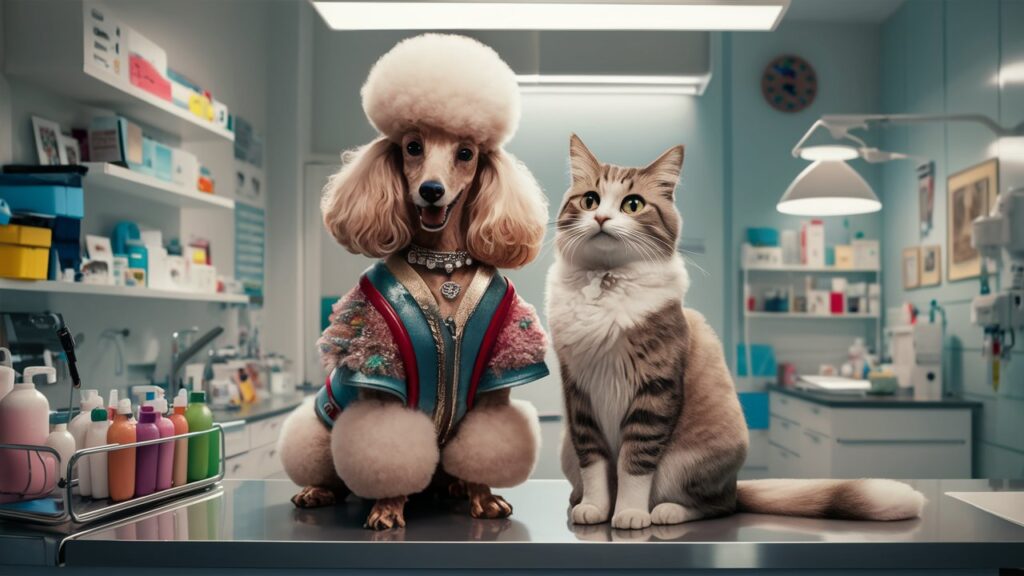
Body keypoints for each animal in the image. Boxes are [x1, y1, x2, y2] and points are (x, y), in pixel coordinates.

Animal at [552, 132, 929, 528]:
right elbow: (594, 463)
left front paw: (629, 513)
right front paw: (595, 507)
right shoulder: (579, 393)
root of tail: (734, 485)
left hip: (691, 461)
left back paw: (667, 511)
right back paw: (579, 501)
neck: (607, 283)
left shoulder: (655, 389)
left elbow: (635, 463)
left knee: (716, 505)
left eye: (633, 204)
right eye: (590, 200)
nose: (601, 217)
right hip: (566, 449)